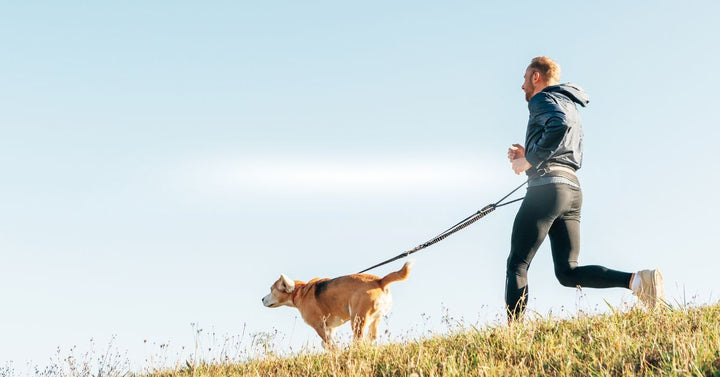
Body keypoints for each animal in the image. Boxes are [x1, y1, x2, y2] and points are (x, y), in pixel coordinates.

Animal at [262, 262, 410, 346]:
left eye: (271, 290)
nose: (262, 299)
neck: (300, 291)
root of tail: (380, 281)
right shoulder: (331, 328)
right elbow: (327, 343)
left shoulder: (319, 326)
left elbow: (329, 344)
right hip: (375, 318)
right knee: (371, 337)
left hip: (357, 320)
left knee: (359, 340)